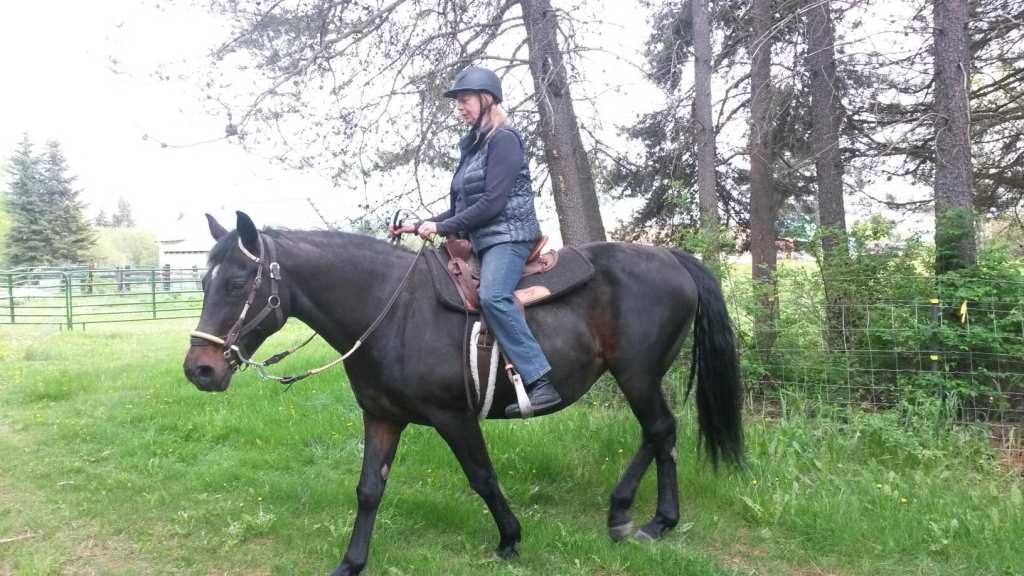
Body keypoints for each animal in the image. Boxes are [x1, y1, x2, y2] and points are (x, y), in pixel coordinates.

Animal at [183, 211, 743, 576]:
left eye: (238, 282)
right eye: (204, 282)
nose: (199, 370)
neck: (390, 309)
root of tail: (673, 259)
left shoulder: (453, 416)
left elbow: (482, 477)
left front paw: (510, 539)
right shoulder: (381, 417)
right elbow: (368, 490)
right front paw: (351, 563)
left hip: (637, 375)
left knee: (660, 430)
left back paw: (655, 521)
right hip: (638, 377)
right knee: (658, 434)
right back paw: (625, 512)